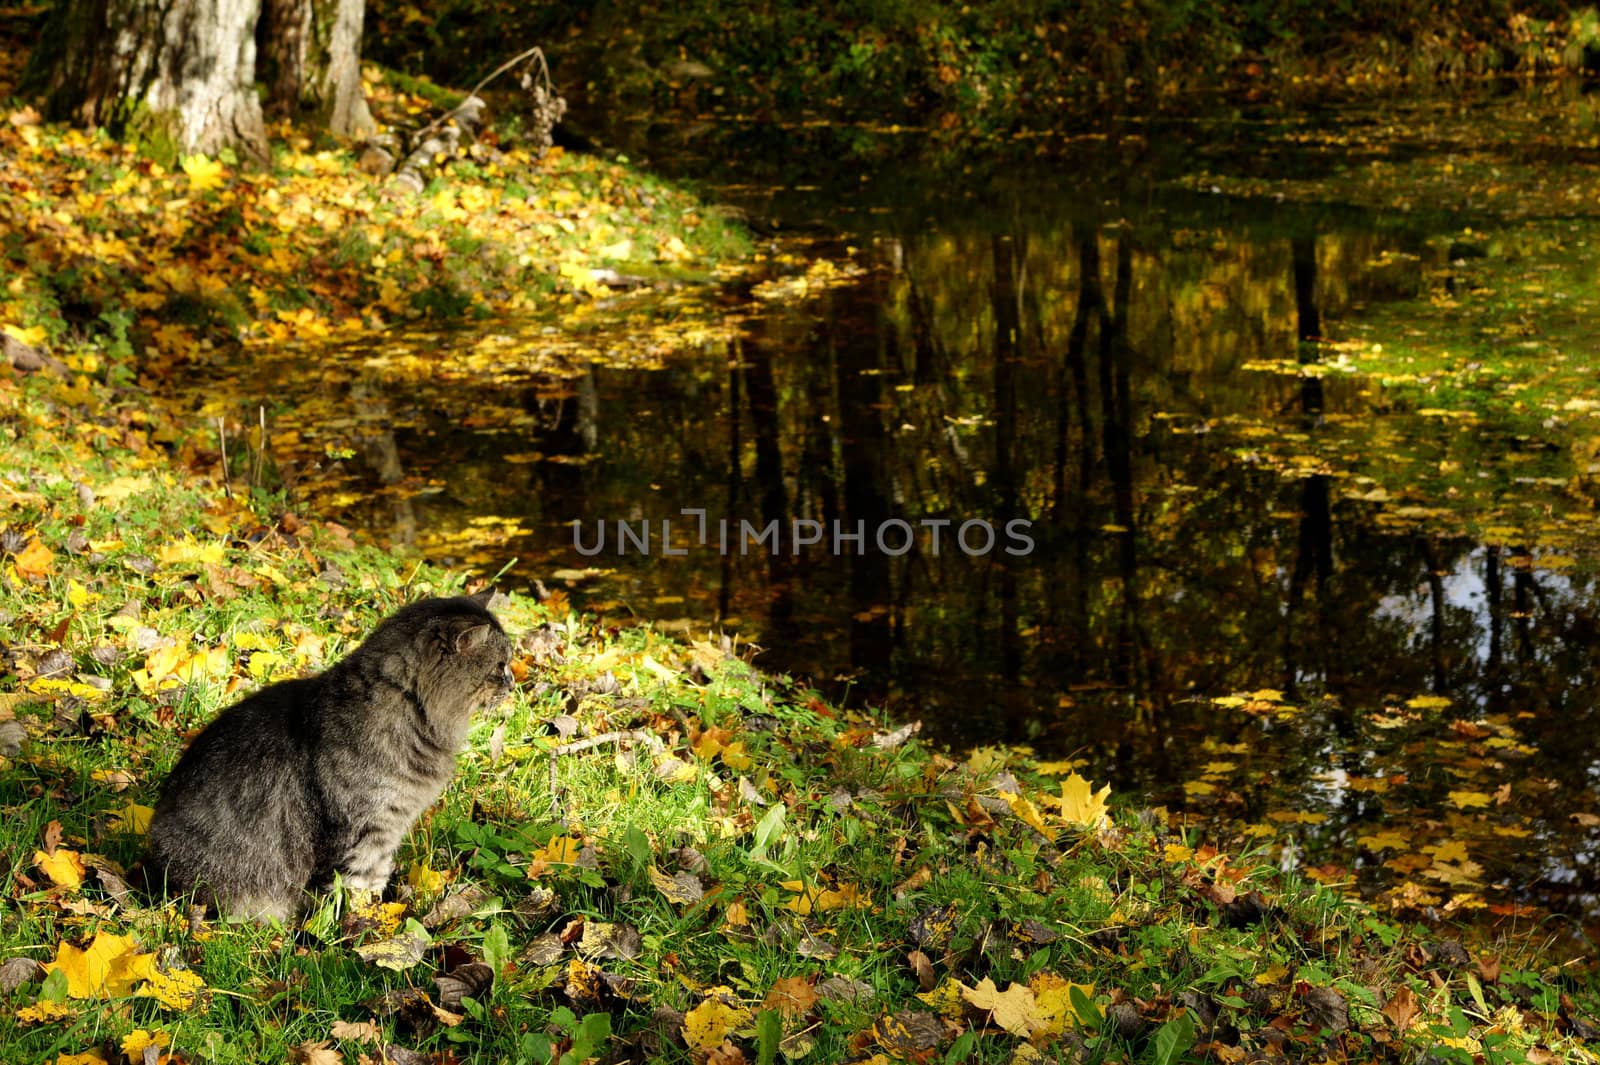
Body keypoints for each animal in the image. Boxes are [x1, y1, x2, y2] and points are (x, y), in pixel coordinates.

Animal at [148, 591, 512, 914]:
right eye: (500, 666)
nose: (512, 683)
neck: (411, 710)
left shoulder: (387, 831)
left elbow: (376, 879)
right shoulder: (363, 830)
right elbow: (353, 890)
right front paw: (361, 928)